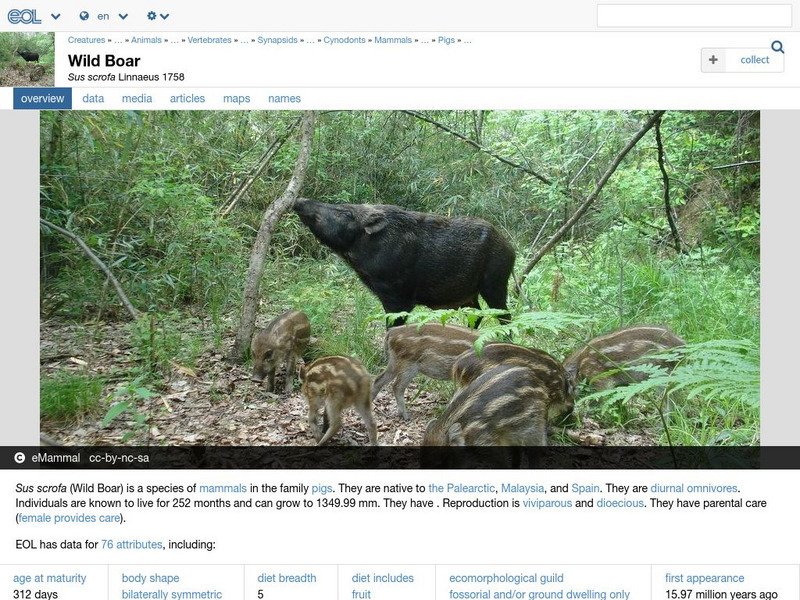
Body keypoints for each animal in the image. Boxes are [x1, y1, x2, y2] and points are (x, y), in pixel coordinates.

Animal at [293, 198, 515, 325]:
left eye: (346, 212)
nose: (299, 198)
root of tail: (510, 248)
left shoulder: (398, 296)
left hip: (495, 283)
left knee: (504, 315)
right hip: (467, 296)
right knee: (477, 314)